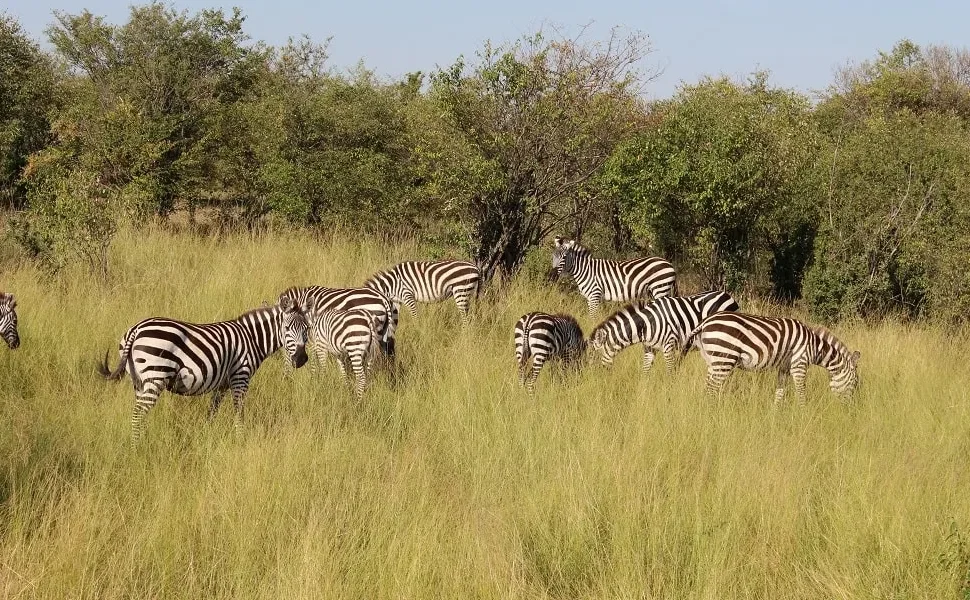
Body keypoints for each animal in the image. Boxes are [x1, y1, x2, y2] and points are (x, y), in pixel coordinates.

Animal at [98, 298, 310, 442]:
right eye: (287, 328)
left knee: (140, 414)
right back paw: (137, 447)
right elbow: (239, 411)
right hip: (155, 376)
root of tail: (137, 329)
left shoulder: (222, 384)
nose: (301, 359)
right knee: (138, 414)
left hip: (138, 380)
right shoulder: (240, 376)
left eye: (307, 328)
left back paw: (143, 440)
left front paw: (207, 434)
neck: (251, 338)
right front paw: (240, 439)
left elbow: (212, 411)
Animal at [589, 291, 739, 373]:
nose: (592, 378)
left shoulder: (668, 346)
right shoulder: (649, 348)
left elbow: (670, 371)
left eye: (594, 356)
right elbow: (645, 372)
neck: (647, 324)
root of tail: (729, 296)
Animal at [683, 312, 861, 404]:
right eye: (855, 383)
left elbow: (780, 393)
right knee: (711, 390)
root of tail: (705, 321)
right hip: (724, 358)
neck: (814, 346)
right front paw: (803, 414)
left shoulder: (784, 368)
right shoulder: (799, 364)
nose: (850, 409)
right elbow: (801, 392)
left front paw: (775, 416)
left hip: (712, 360)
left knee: (707, 388)